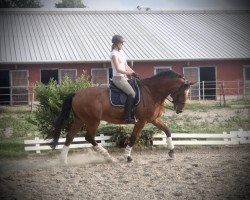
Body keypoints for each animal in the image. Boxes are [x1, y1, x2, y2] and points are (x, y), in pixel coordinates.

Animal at [46, 70, 195, 164]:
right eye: (182, 92)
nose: (180, 110)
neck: (152, 92)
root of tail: (76, 94)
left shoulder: (154, 119)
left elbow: (167, 131)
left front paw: (171, 152)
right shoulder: (141, 121)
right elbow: (134, 137)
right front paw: (127, 157)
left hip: (80, 120)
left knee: (70, 136)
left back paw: (63, 160)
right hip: (93, 121)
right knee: (89, 137)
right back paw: (109, 158)